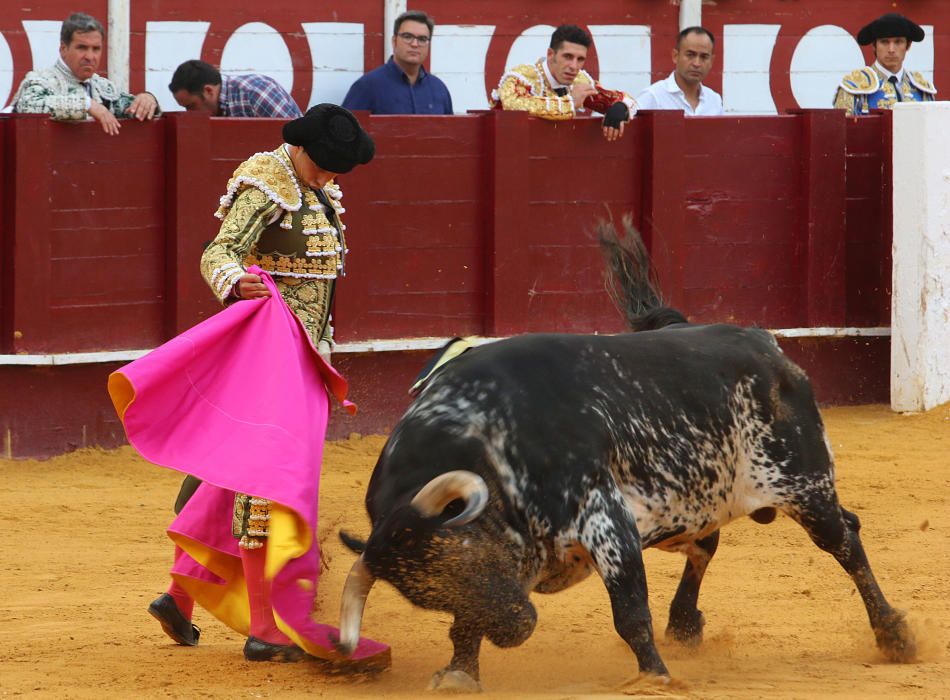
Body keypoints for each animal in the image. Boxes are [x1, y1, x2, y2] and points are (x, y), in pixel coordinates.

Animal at [332, 223, 916, 688]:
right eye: (430, 593)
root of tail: (765, 344)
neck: (487, 439)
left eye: (465, 557)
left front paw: (655, 679)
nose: (516, 629)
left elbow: (630, 611)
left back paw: (894, 635)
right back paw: (684, 623)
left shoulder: (605, 520)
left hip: (803, 482)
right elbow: (466, 626)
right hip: (699, 495)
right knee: (708, 543)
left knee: (845, 539)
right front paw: (459, 673)